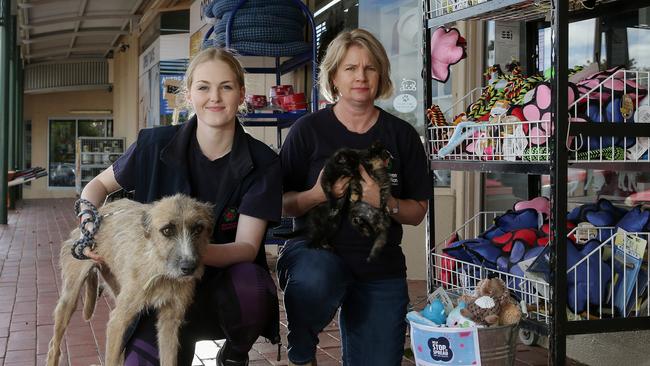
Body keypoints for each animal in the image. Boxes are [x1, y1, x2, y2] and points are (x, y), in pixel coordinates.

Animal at [46, 194, 213, 366]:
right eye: (167, 230)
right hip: (69, 300)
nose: (189, 268)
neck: (160, 269)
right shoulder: (116, 322)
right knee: (54, 346)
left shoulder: (170, 323)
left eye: (199, 229)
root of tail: (98, 213)